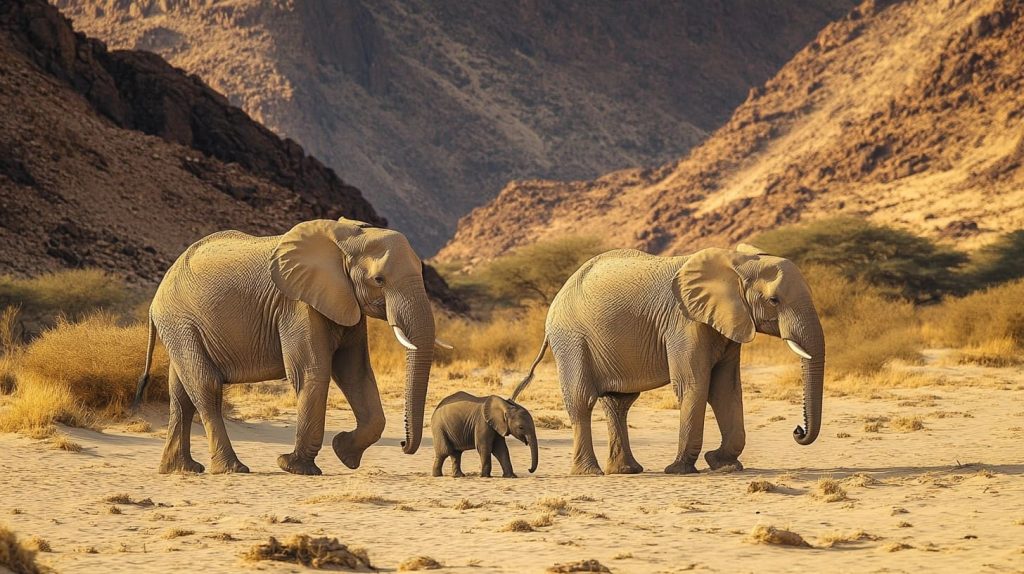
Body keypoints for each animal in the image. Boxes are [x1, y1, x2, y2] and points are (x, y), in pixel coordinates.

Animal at [133, 217, 447, 475]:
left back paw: (181, 469)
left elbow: (355, 373)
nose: (404, 443)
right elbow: (311, 372)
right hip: (180, 322)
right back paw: (232, 468)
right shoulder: (297, 304)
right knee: (205, 386)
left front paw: (343, 452)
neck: (345, 239)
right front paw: (294, 467)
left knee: (180, 394)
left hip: (181, 327)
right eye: (379, 280)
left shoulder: (344, 301)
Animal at [512, 244, 825, 476]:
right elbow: (693, 385)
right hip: (571, 340)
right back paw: (589, 473)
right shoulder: (684, 322)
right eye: (774, 301)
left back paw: (626, 471)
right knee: (581, 401)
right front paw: (680, 469)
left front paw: (722, 464)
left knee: (618, 403)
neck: (736, 263)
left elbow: (725, 389)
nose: (798, 430)